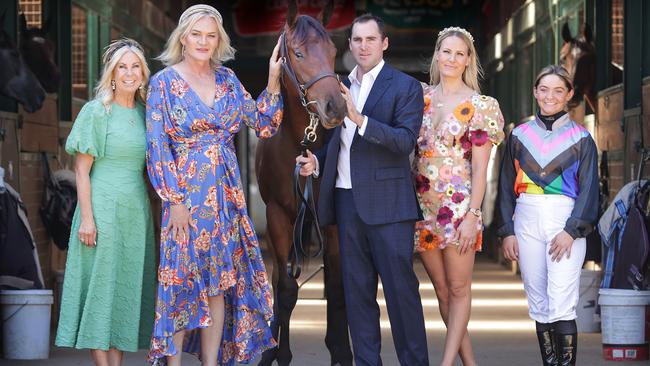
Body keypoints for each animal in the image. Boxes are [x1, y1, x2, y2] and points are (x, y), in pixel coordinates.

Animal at [256, 1, 352, 364]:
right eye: (297, 53)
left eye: (333, 51)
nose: (335, 107)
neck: (300, 142)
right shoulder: (277, 216)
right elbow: (285, 290)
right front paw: (280, 353)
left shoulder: (332, 221)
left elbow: (338, 290)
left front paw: (341, 350)